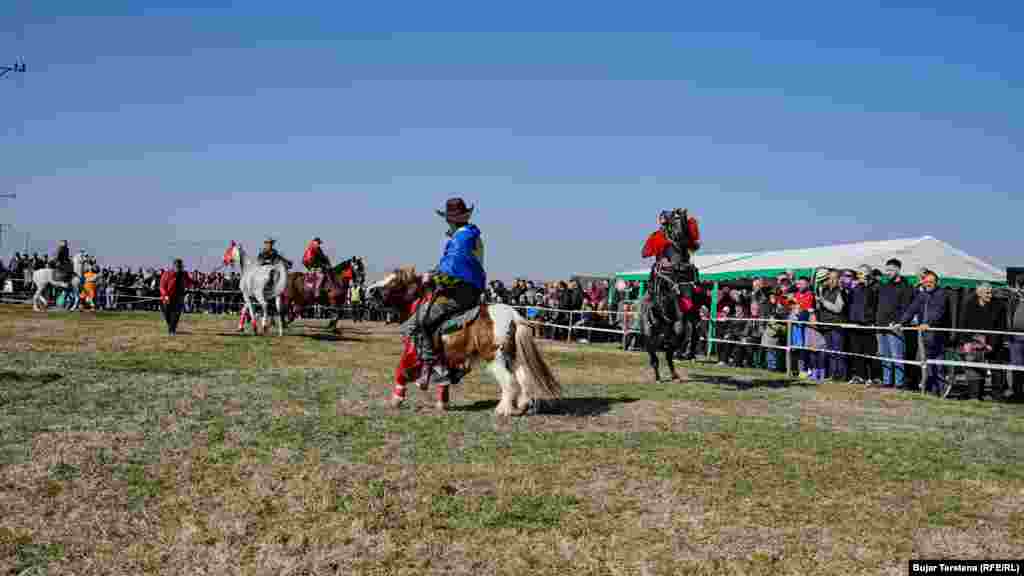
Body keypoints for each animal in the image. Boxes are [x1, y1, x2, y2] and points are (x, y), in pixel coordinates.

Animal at [372, 266, 561, 414]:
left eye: (394, 282)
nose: (370, 291)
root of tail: (513, 316)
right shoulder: (443, 359)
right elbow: (443, 380)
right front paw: (442, 403)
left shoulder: (414, 353)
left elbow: (401, 371)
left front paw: (396, 400)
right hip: (513, 356)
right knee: (523, 378)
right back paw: (522, 405)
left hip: (494, 357)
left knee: (509, 381)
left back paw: (503, 410)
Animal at [638, 207, 704, 381]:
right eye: (673, 221)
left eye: (684, 221)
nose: (684, 238)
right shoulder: (676, 308)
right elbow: (681, 328)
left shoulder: (693, 311)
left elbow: (694, 328)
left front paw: (689, 352)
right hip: (648, 330)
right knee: (653, 353)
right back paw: (658, 376)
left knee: (669, 351)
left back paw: (674, 373)